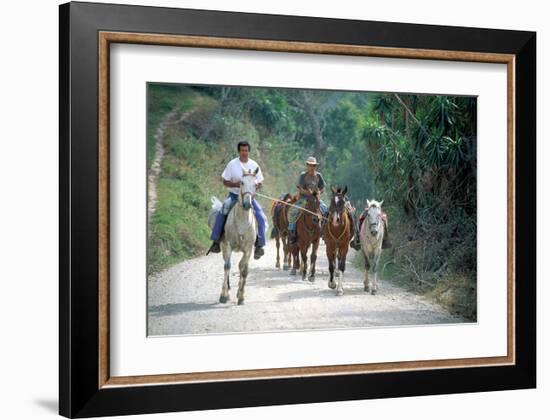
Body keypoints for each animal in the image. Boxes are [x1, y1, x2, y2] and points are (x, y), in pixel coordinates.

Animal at [210, 168, 260, 306]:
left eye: (256, 184)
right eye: (241, 182)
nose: (247, 204)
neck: (242, 221)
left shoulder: (248, 249)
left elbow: (244, 269)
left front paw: (241, 296)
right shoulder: (228, 245)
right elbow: (227, 266)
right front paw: (223, 295)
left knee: (240, 266)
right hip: (223, 246)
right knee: (227, 264)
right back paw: (228, 291)